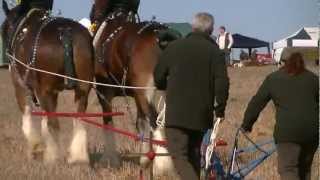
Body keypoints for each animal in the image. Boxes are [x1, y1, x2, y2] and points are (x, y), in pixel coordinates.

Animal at [2, 1, 94, 165]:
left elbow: (27, 115)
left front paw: (36, 147)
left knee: (54, 123)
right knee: (78, 119)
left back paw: (52, 157)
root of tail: (65, 32)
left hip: (44, 91)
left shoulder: (20, 86)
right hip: (83, 88)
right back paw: (77, 156)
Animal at [91, 0, 179, 174]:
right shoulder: (137, 96)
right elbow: (141, 124)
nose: (93, 16)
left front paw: (109, 159)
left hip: (144, 93)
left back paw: (162, 165)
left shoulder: (104, 92)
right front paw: (144, 158)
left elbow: (108, 121)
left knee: (155, 121)